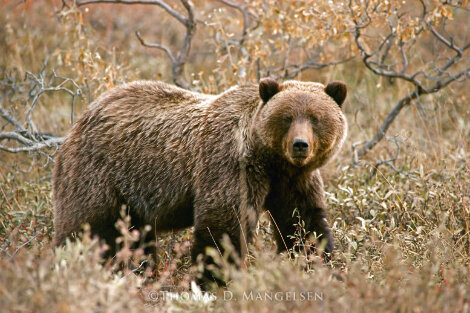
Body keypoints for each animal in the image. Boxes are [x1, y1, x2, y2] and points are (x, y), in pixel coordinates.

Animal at [52, 77, 346, 282]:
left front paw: (322, 266)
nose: (300, 145)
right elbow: (223, 226)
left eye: (315, 118)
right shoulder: (230, 166)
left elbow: (304, 225)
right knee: (87, 230)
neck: (271, 161)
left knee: (137, 240)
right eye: (286, 117)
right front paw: (213, 280)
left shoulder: (294, 181)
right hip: (100, 174)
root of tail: (81, 120)